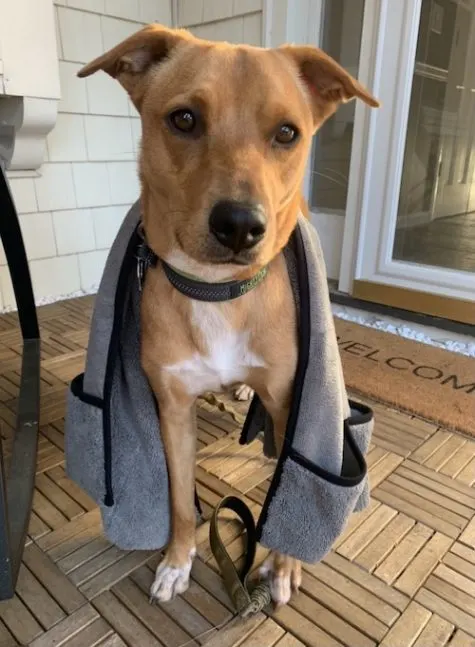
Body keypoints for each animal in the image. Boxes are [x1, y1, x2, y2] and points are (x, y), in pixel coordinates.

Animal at [80, 21, 382, 608]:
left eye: (286, 133)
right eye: (184, 119)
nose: (241, 225)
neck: (216, 293)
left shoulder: (290, 407)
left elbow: (288, 487)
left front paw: (283, 565)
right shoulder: (172, 409)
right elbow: (178, 498)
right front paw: (178, 561)